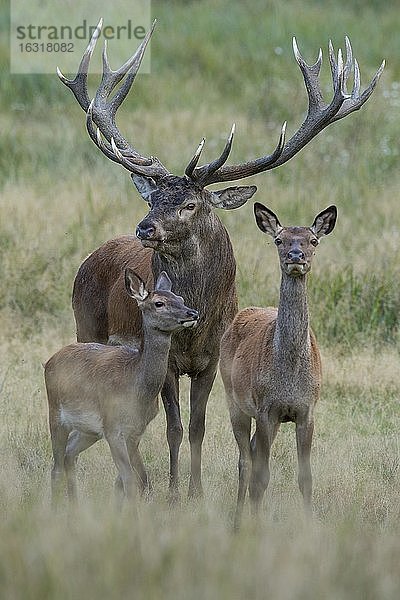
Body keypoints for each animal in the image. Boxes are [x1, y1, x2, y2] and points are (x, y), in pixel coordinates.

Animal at [44, 270, 198, 502]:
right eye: (159, 303)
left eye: (180, 298)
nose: (193, 313)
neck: (134, 386)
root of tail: (49, 361)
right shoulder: (113, 426)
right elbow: (130, 479)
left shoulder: (136, 430)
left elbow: (139, 478)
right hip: (56, 414)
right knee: (56, 468)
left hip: (90, 430)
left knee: (70, 454)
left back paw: (75, 505)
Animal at [220, 204, 336, 528]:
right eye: (279, 240)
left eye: (313, 240)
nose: (296, 256)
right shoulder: (265, 409)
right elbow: (261, 478)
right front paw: (256, 525)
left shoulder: (306, 410)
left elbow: (305, 477)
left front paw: (309, 525)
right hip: (233, 401)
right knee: (245, 461)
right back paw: (237, 521)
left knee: (252, 452)